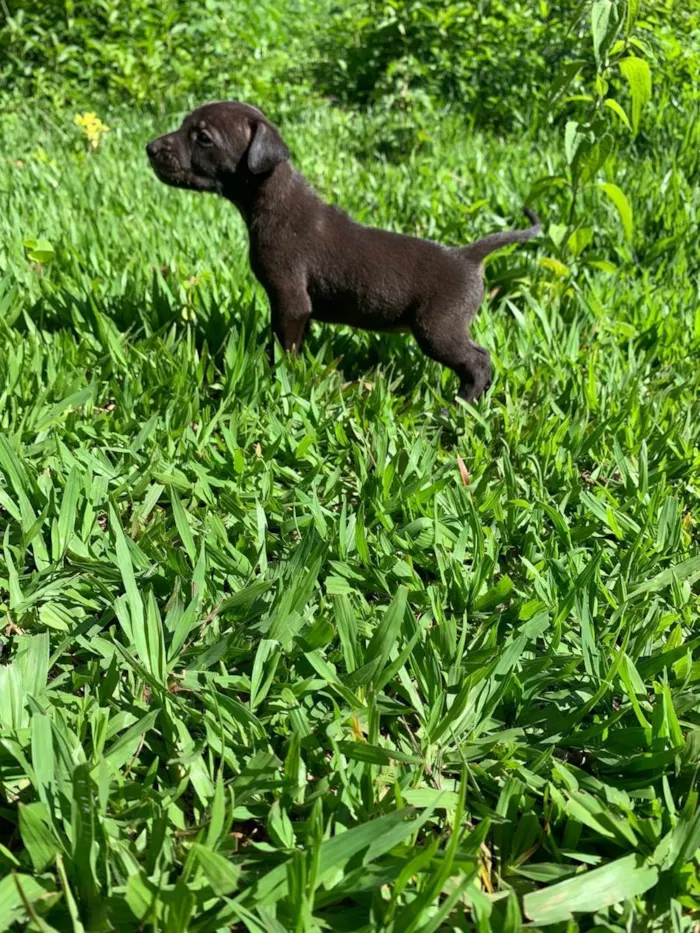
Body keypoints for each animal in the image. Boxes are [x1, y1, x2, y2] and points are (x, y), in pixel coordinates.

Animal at [148, 102, 540, 400]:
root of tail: (468, 256)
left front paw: (281, 380)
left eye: (202, 137)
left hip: (438, 329)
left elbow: (284, 348)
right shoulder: (299, 309)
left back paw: (460, 405)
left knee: (478, 362)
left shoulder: (290, 300)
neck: (273, 200)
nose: (150, 148)